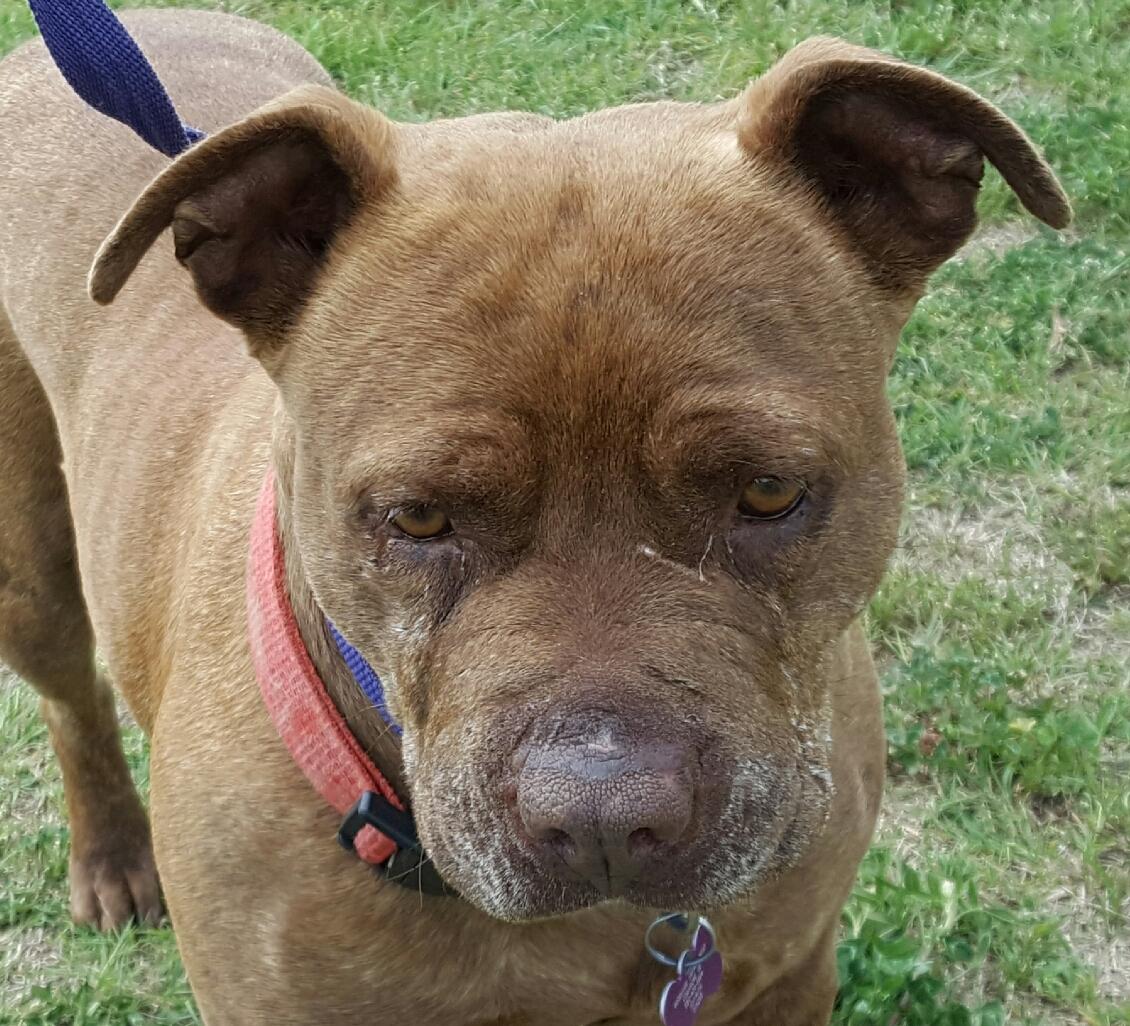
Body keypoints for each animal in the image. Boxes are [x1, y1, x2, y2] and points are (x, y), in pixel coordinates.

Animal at [0, 10, 1066, 1026]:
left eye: (769, 490)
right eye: (416, 516)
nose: (603, 817)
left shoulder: (791, 980)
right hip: (33, 580)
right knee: (72, 698)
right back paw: (110, 858)